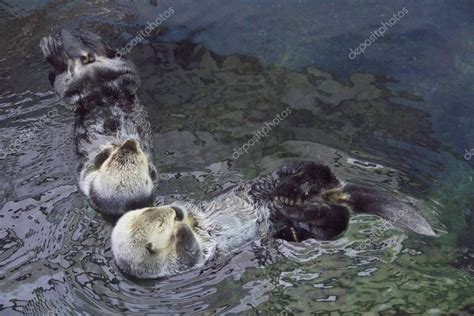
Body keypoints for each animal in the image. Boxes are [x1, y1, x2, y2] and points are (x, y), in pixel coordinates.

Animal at [112, 162, 436, 278]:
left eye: (154, 214)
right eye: (160, 225)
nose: (175, 215)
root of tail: (331, 194)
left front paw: (181, 209)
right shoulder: (185, 263)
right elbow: (192, 250)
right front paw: (182, 230)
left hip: (296, 174)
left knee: (309, 170)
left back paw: (290, 191)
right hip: (323, 224)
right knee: (335, 220)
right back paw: (294, 214)